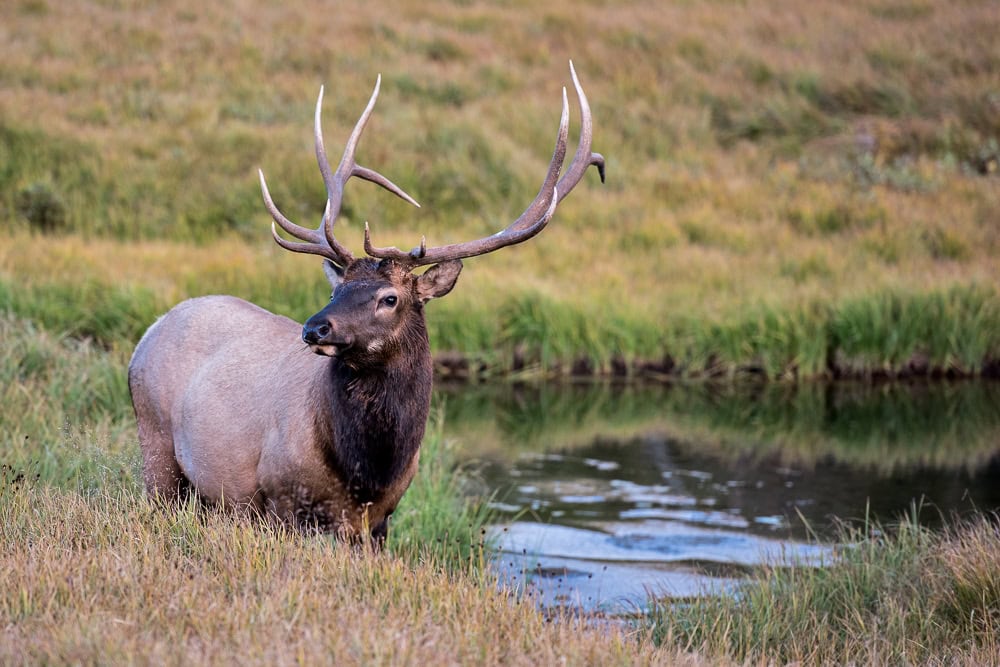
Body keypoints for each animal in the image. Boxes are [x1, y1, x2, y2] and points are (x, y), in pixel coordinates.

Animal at [129, 62, 604, 544]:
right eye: (335, 291)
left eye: (389, 298)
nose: (314, 328)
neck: (366, 471)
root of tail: (151, 329)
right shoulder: (278, 497)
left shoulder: (381, 520)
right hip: (156, 445)